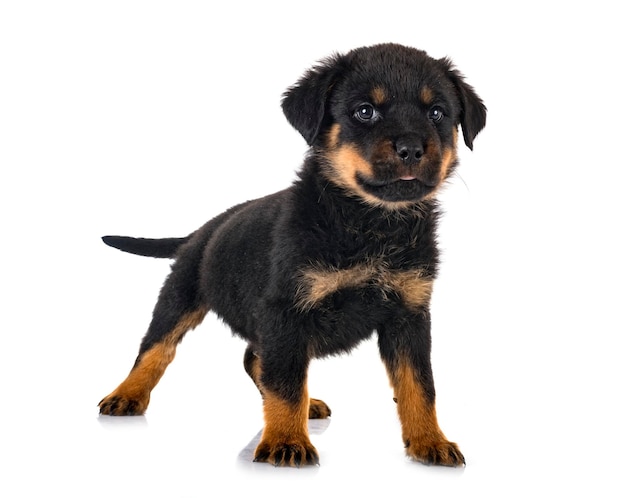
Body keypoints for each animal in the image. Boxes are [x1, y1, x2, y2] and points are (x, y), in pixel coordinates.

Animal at [98, 42, 488, 466]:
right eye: (364, 111)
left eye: (437, 113)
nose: (412, 148)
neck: (371, 225)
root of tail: (201, 231)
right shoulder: (286, 311)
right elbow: (285, 382)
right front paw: (286, 441)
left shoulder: (409, 314)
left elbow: (419, 385)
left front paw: (429, 440)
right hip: (180, 295)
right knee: (156, 348)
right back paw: (126, 395)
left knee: (253, 358)